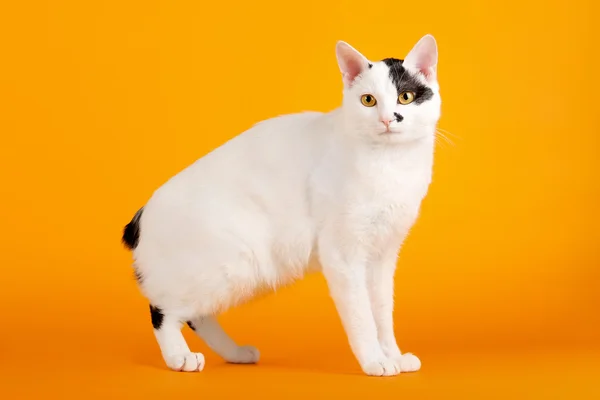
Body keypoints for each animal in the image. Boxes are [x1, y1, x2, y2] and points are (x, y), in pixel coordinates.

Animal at [122, 33, 440, 376]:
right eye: (368, 100)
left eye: (406, 97)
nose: (387, 119)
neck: (390, 163)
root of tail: (140, 216)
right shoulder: (343, 255)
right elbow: (362, 317)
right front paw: (375, 361)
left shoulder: (383, 255)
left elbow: (381, 313)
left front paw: (393, 355)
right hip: (230, 266)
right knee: (163, 311)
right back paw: (179, 357)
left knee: (197, 315)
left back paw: (235, 353)